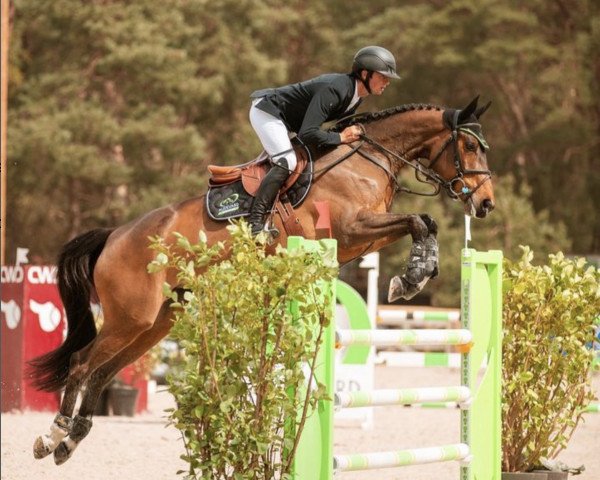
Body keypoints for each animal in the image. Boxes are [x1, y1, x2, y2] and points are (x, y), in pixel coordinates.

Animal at [29, 94, 496, 464]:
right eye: (470, 145)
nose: (487, 204)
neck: (369, 160)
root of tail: (115, 235)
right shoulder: (350, 230)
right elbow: (418, 220)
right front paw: (413, 276)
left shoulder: (362, 238)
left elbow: (423, 221)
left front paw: (416, 273)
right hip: (131, 317)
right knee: (81, 363)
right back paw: (51, 436)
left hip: (156, 322)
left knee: (103, 371)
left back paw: (70, 442)